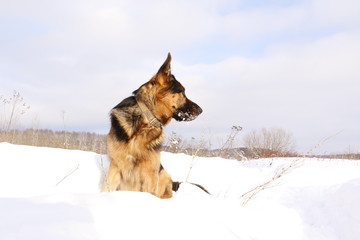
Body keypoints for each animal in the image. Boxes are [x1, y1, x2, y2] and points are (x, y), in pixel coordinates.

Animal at [102, 53, 202, 198]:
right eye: (182, 92)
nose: (201, 110)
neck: (145, 121)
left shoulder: (151, 173)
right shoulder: (115, 167)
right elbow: (105, 190)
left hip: (164, 174)